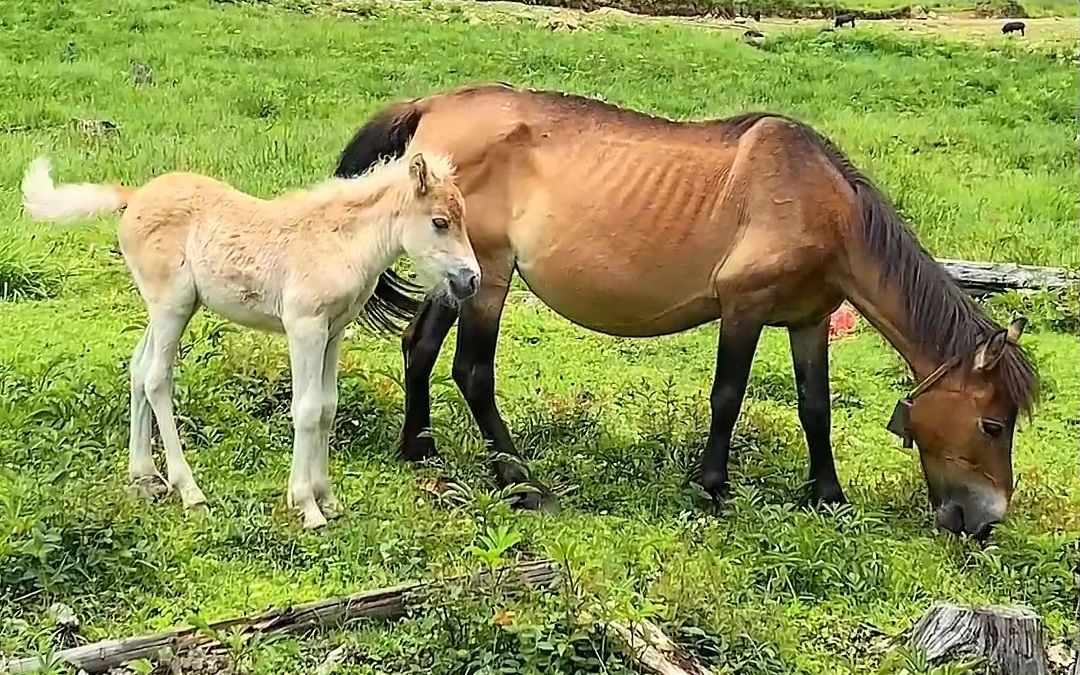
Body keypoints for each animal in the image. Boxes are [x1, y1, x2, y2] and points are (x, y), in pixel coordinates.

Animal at [19, 152, 477, 527]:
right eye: (440, 222)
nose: (472, 279)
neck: (336, 240)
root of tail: (133, 197)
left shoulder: (334, 331)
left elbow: (327, 408)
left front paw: (328, 500)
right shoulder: (304, 326)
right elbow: (307, 410)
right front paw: (306, 506)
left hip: (172, 307)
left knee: (137, 369)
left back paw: (144, 477)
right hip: (171, 304)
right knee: (156, 378)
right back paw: (189, 491)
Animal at [336, 83, 1036, 537]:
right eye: (993, 424)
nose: (985, 523)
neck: (824, 206)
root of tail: (431, 107)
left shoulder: (809, 321)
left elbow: (816, 407)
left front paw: (827, 495)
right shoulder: (744, 307)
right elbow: (727, 396)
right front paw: (712, 486)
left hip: (458, 276)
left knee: (420, 347)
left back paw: (418, 448)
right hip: (489, 275)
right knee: (472, 371)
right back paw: (521, 482)